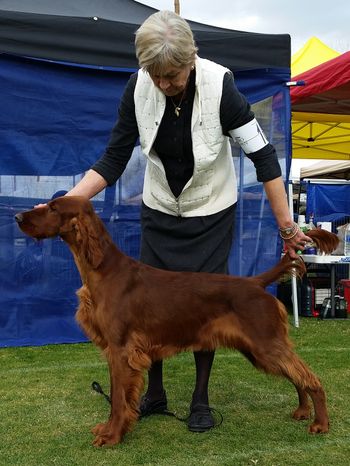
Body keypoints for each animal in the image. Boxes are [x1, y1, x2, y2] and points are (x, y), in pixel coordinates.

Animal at [14, 195, 340, 446]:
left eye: (54, 208)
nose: (17, 216)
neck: (104, 271)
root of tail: (255, 282)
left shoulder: (121, 350)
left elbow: (118, 399)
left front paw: (112, 436)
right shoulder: (114, 352)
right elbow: (119, 396)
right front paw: (110, 429)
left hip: (266, 344)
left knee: (311, 379)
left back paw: (320, 424)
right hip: (260, 350)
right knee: (298, 377)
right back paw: (302, 411)